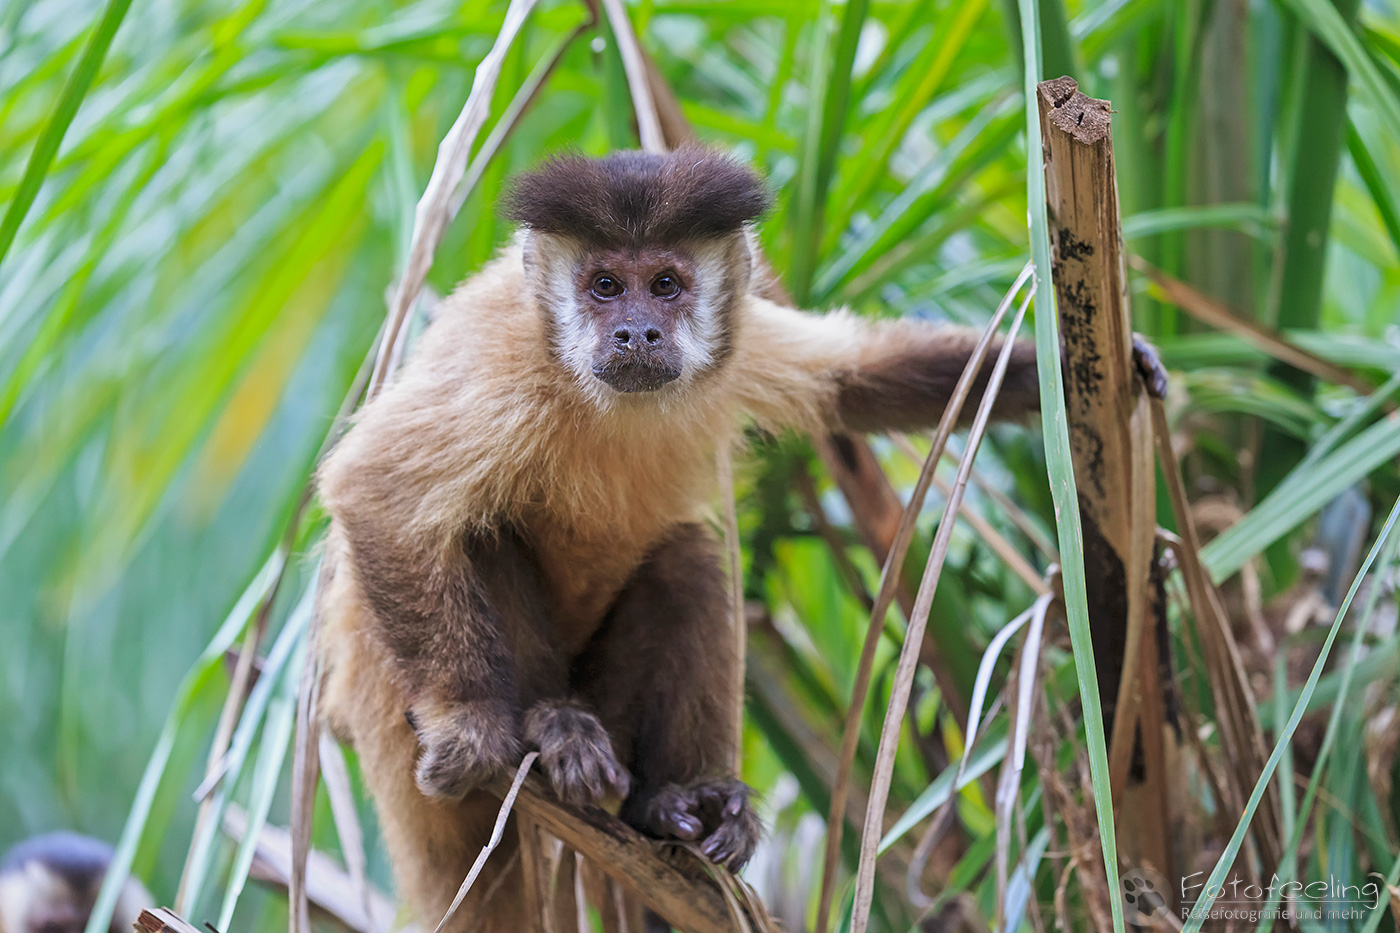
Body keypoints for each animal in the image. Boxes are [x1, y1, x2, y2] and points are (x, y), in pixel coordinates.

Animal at [315, 147, 1161, 932]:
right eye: (603, 286)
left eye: (664, 284)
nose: (635, 330)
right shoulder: (502, 363)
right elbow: (374, 490)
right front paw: (469, 723)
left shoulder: (739, 339)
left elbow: (858, 376)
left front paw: (1093, 364)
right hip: (393, 710)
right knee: (484, 528)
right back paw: (551, 729)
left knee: (687, 560)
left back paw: (672, 803)